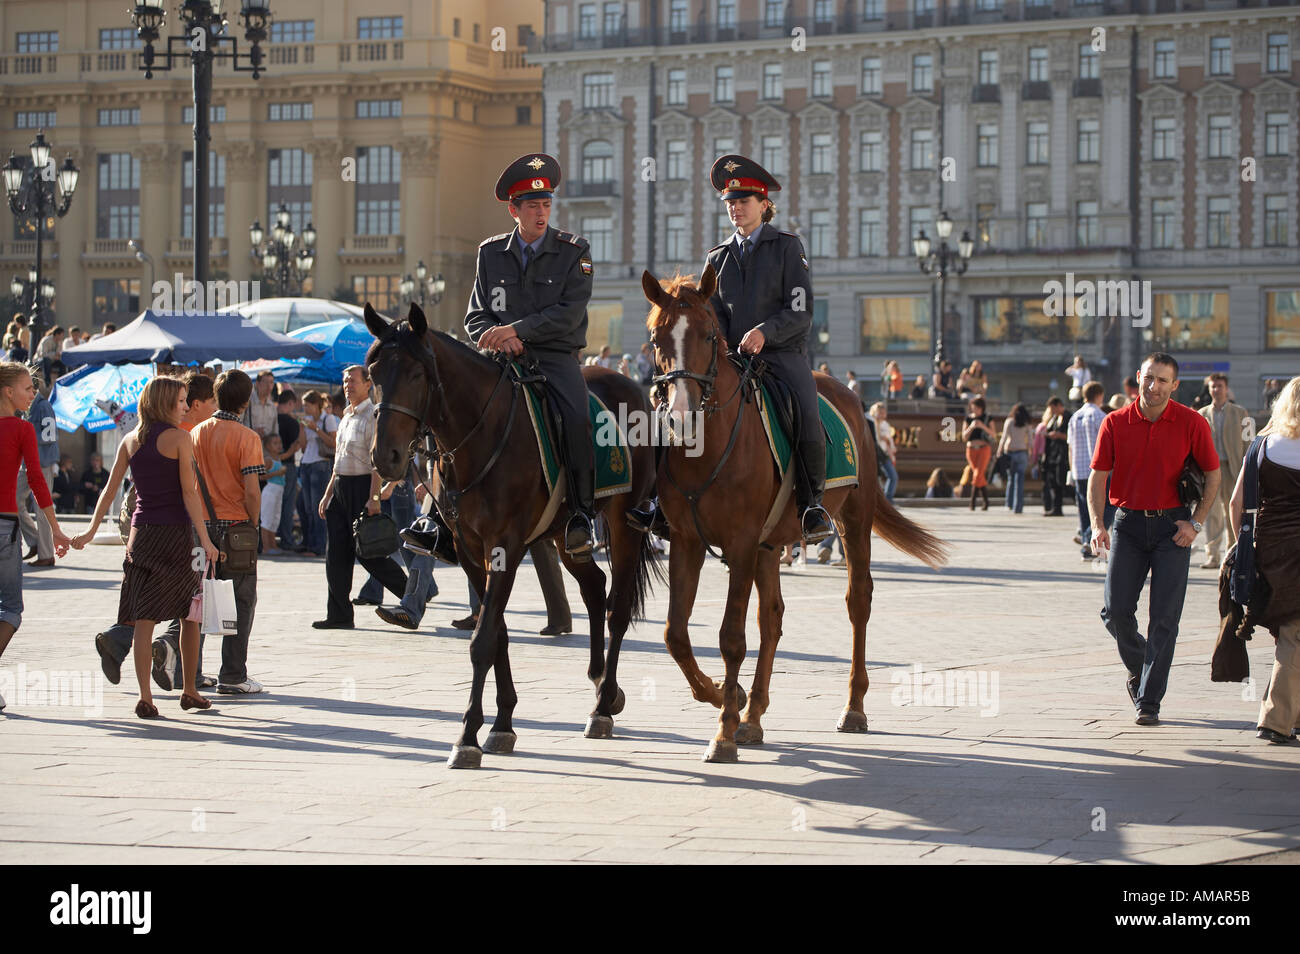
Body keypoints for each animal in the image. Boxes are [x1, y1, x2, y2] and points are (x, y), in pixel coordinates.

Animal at [364, 304, 660, 769]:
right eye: (373, 372)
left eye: (415, 373)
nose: (385, 457)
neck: (480, 433)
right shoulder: (470, 550)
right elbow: (496, 631)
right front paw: (502, 722)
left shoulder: (505, 546)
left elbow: (483, 638)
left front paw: (467, 736)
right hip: (564, 535)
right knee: (595, 588)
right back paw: (600, 685)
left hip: (624, 525)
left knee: (617, 608)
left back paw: (602, 705)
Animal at [644, 267, 951, 764]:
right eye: (657, 338)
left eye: (709, 334)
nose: (682, 416)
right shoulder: (688, 542)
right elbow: (675, 634)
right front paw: (722, 695)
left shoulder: (741, 544)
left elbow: (731, 637)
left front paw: (723, 731)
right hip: (771, 544)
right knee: (772, 617)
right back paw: (753, 714)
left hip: (853, 522)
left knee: (857, 602)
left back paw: (852, 707)